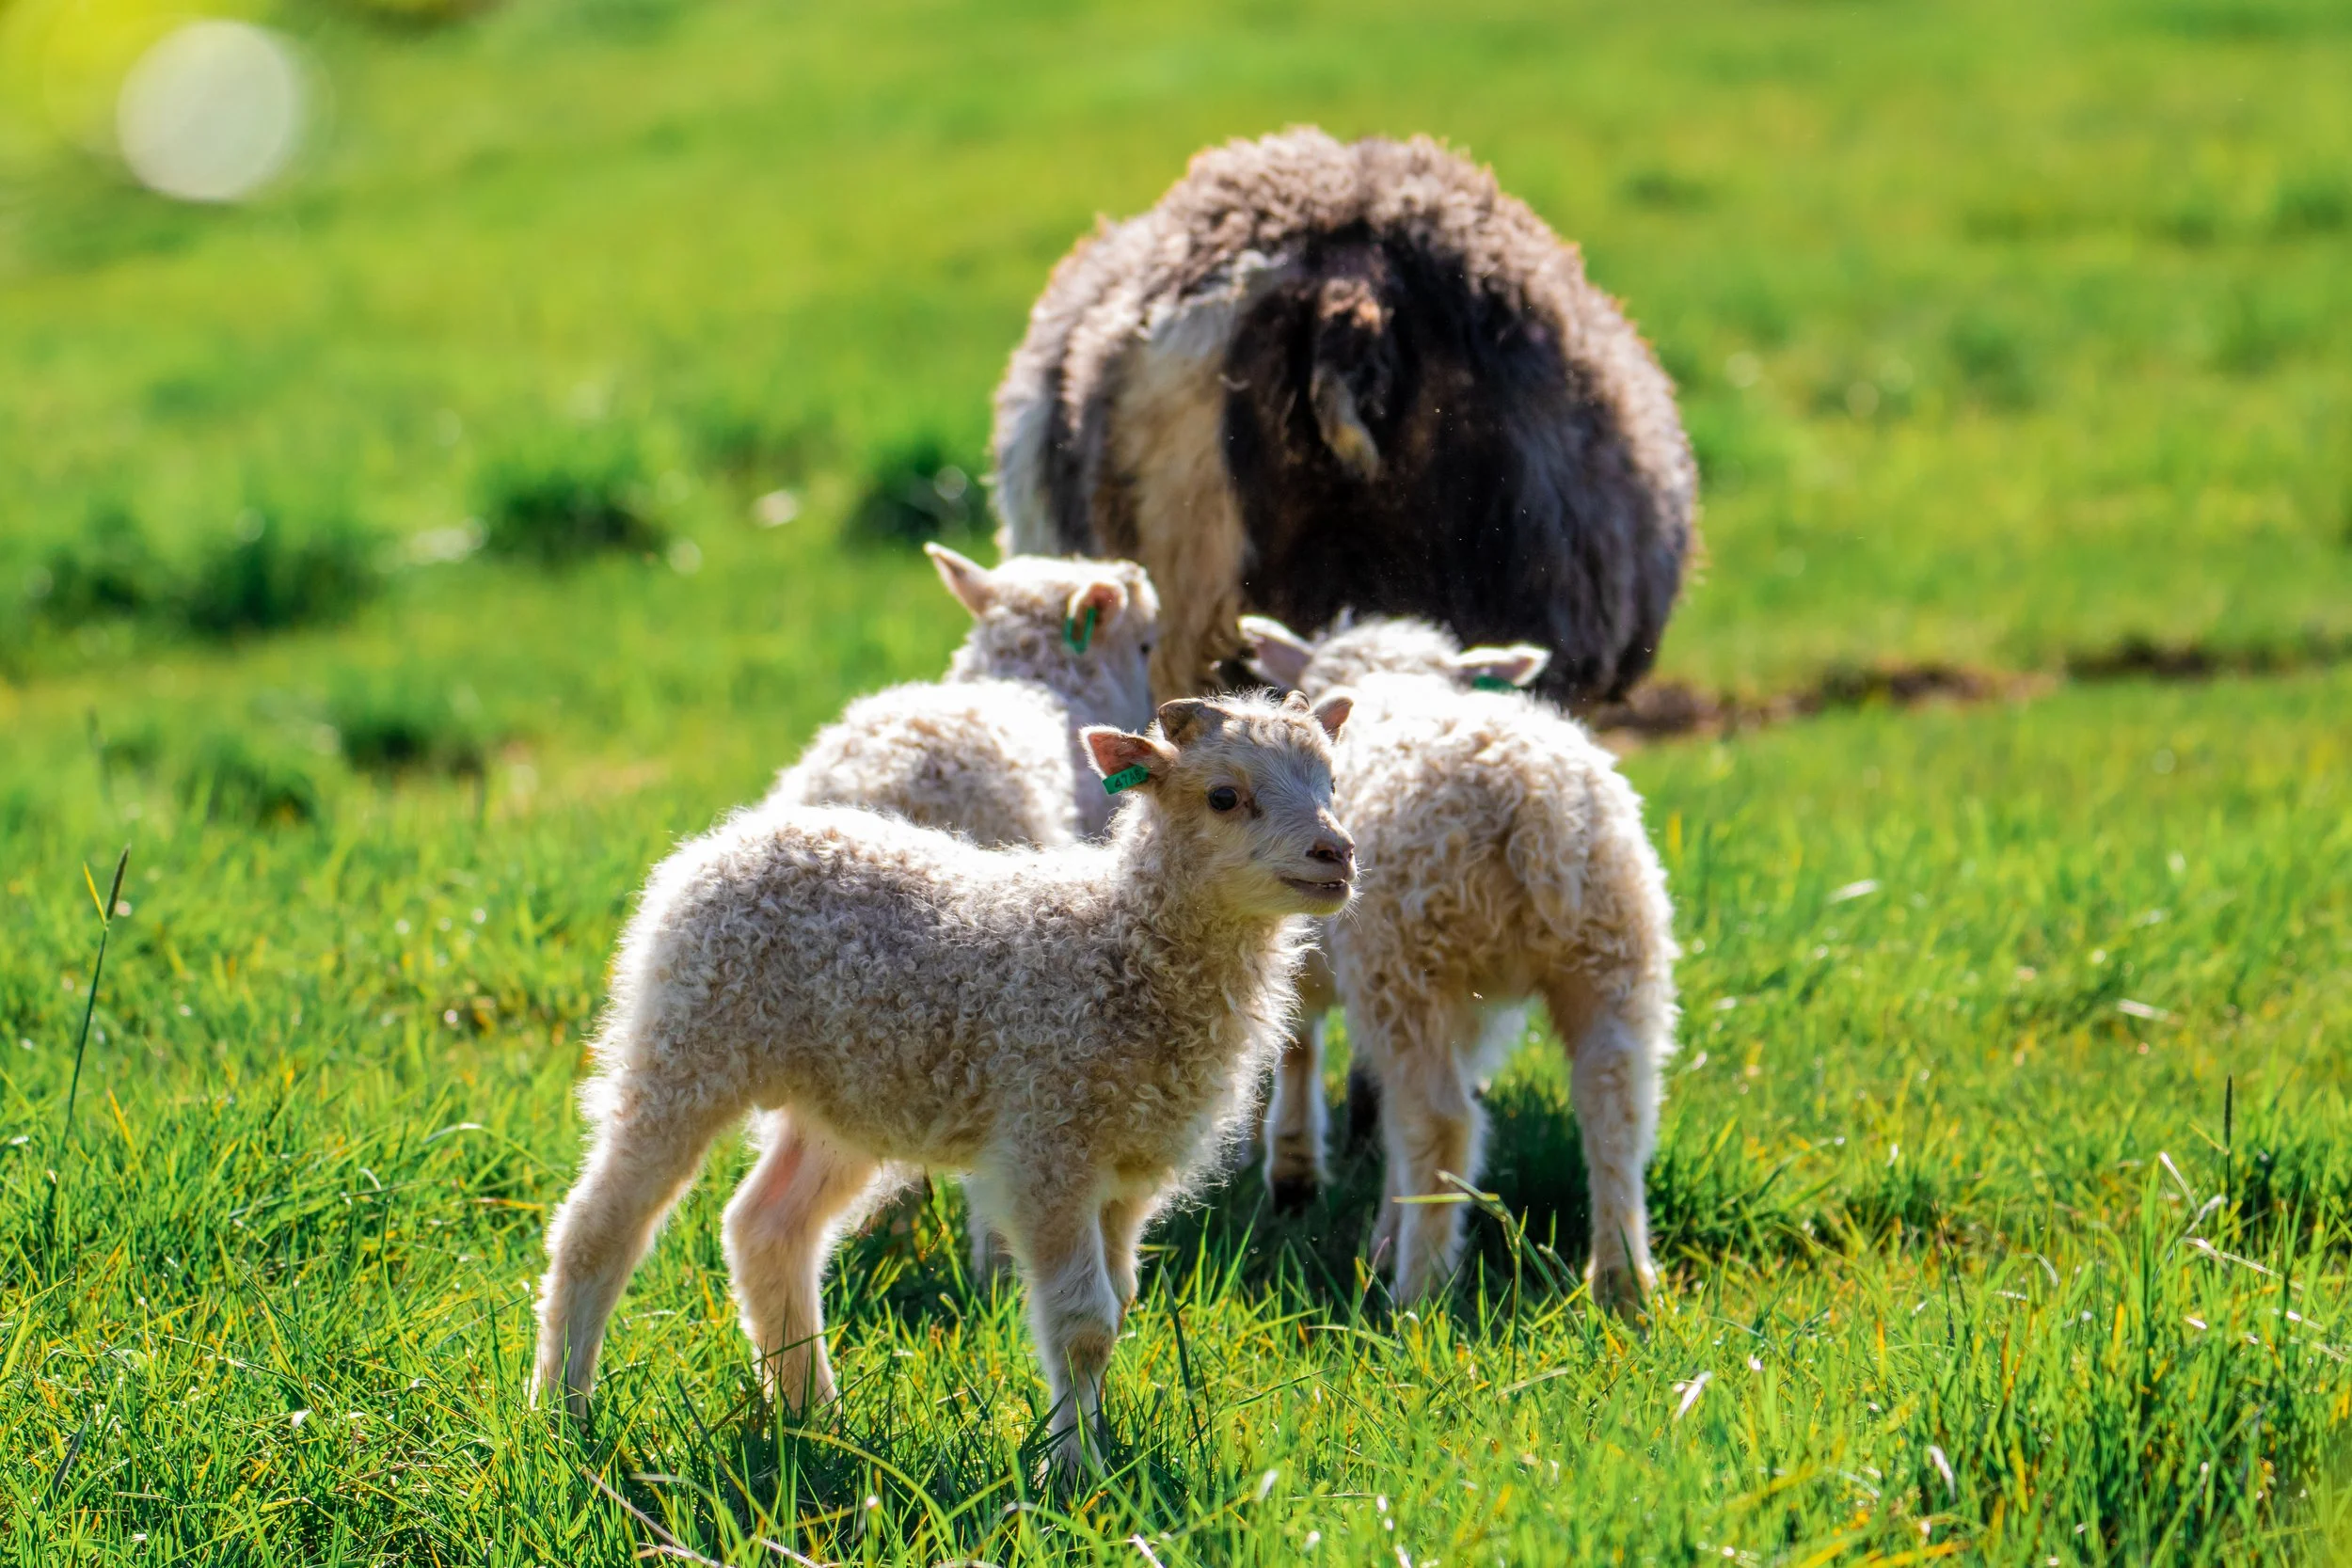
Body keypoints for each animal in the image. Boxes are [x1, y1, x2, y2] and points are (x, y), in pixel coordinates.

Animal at [531, 689, 1357, 1476]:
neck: (1121, 940)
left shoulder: (1129, 1168)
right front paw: (1075, 1475)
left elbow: (1117, 1307)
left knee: (767, 1227)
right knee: (597, 1227)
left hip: (848, 1100)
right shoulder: (1048, 1145)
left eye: (1332, 782)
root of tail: (728, 838)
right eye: (1224, 795)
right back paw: (562, 1412)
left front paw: (1098, 1451)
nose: (1337, 852)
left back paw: (812, 1417)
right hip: (684, 1044)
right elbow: (1082, 1320)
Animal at [1240, 613, 1679, 1311]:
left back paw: (1417, 1290)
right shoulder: (1468, 1008)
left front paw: (1294, 1175)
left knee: (1442, 1119)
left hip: (1409, 960)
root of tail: (1532, 801)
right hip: (1614, 945)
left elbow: (1300, 1046)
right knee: (1616, 1102)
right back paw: (1622, 1280)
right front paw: (1385, 1223)